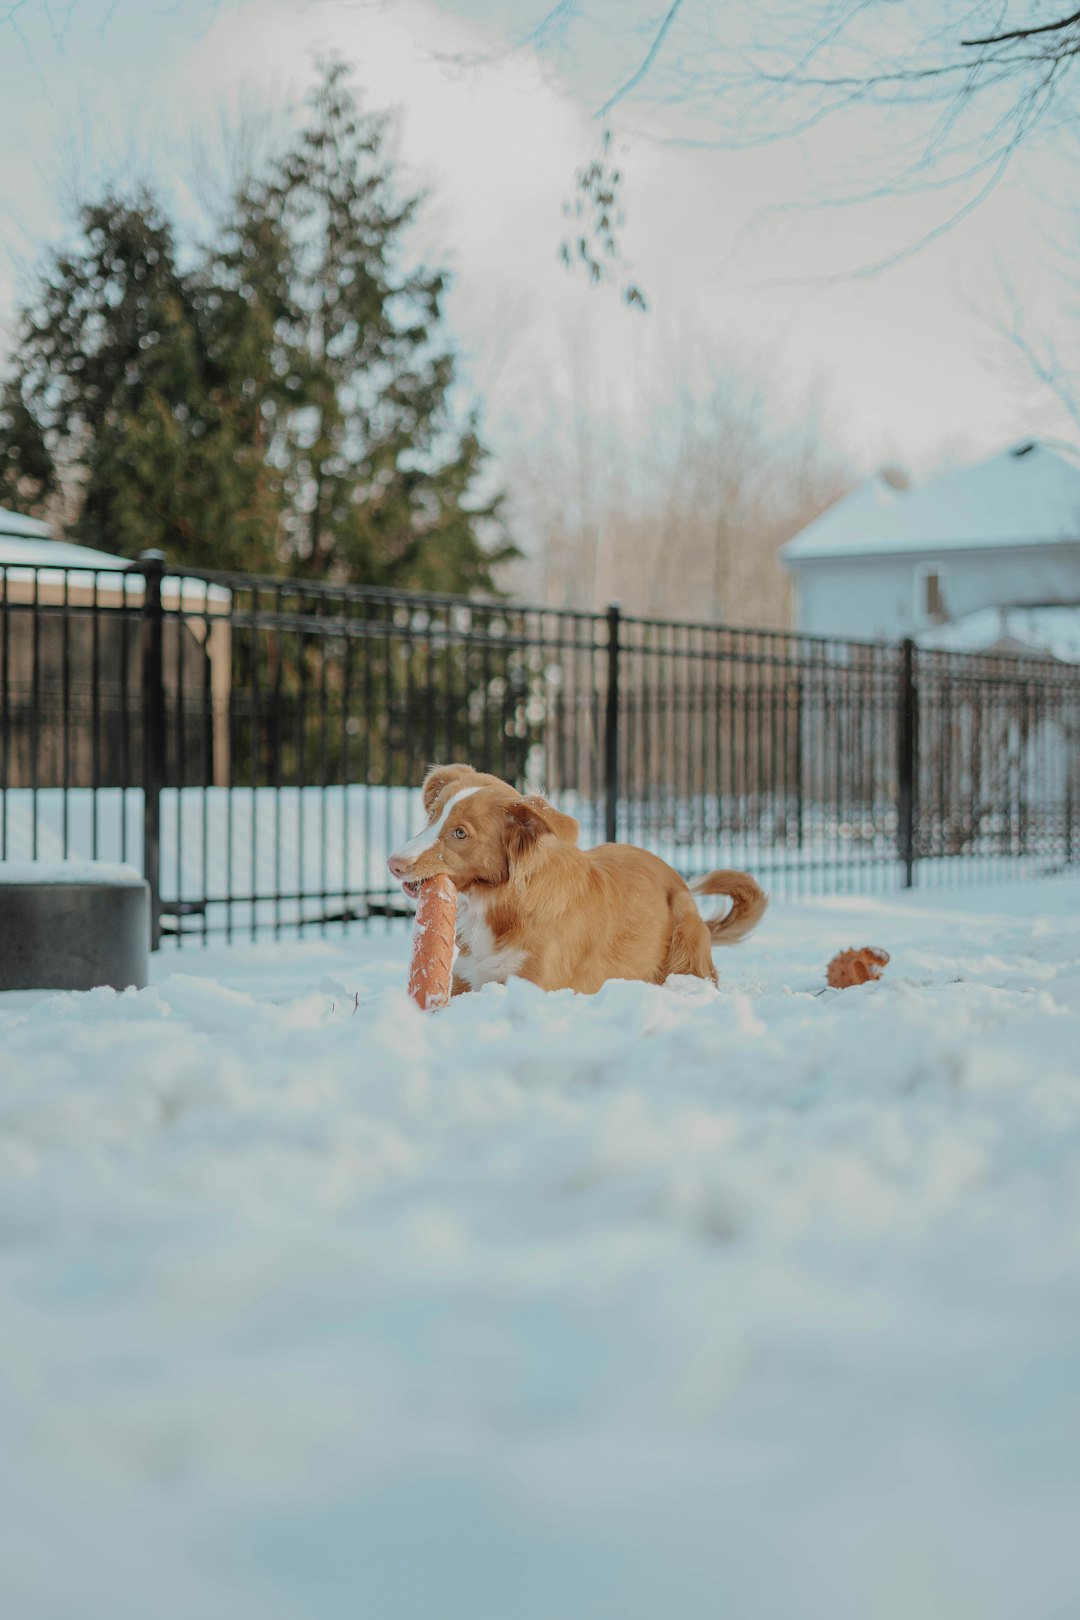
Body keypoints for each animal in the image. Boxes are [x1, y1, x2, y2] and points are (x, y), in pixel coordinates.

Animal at [388, 764, 767, 991]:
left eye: (460, 833)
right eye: (432, 816)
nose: (394, 863)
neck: (500, 905)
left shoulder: (537, 981)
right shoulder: (466, 979)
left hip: (685, 946)